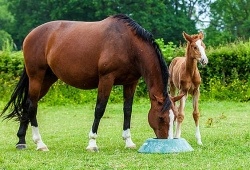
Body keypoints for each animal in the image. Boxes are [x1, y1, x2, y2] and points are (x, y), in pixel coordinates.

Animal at [0, 14, 183, 151]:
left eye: (174, 118)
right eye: (161, 118)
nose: (167, 143)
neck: (128, 45)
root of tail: (31, 35)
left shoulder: (131, 82)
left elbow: (128, 110)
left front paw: (128, 141)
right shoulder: (106, 79)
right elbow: (99, 109)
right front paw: (92, 143)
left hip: (47, 79)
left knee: (27, 103)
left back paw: (21, 141)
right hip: (36, 77)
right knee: (32, 106)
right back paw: (40, 143)